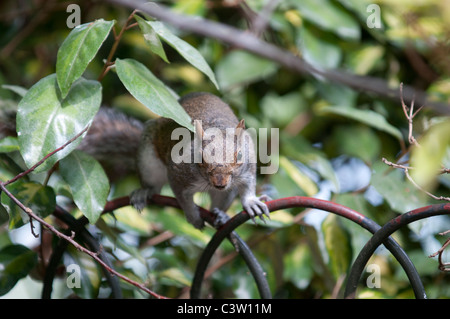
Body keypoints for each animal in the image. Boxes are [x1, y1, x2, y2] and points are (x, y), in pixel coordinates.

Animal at [84, 92, 268, 230]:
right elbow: (182, 197)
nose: (220, 183)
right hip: (148, 162)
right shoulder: (178, 173)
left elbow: (248, 186)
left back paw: (221, 214)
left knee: (220, 201)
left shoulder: (248, 167)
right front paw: (193, 216)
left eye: (239, 156)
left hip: (227, 193)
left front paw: (251, 203)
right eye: (201, 158)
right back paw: (144, 193)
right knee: (154, 186)